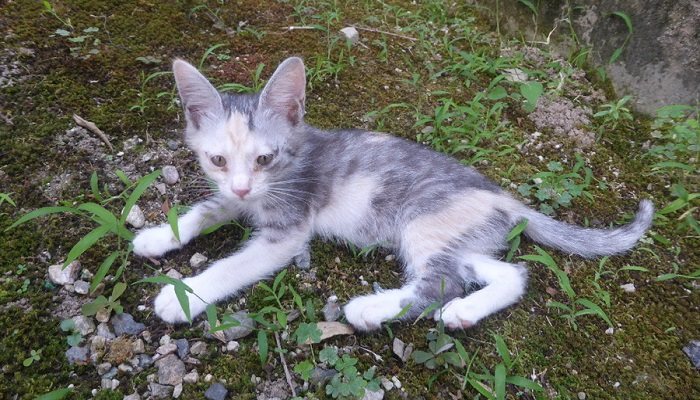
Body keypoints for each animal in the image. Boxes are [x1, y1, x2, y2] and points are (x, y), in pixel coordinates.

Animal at [133, 57, 652, 332]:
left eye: (265, 158)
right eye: (217, 160)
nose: (243, 184)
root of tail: (502, 196)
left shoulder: (288, 227)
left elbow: (234, 265)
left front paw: (184, 295)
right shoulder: (233, 197)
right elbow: (205, 209)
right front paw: (159, 234)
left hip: (423, 224)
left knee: (440, 285)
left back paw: (371, 308)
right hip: (461, 238)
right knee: (510, 273)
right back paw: (466, 312)